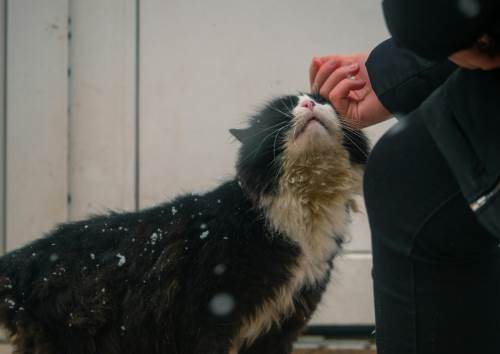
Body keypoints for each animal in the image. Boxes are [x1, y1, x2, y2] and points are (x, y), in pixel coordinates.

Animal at [0, 92, 368, 352]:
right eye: (281, 112)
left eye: (324, 101)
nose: (310, 103)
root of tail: (22, 258)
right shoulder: (209, 317)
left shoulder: (281, 328)